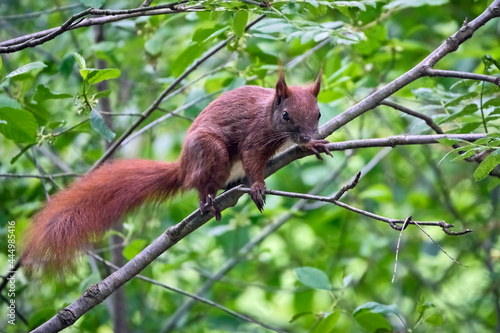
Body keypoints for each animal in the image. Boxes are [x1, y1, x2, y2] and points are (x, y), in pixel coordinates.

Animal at [20, 69, 332, 272]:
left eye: (319, 114)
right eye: (286, 115)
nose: (307, 135)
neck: (268, 114)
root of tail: (183, 167)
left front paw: (313, 144)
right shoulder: (254, 137)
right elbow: (253, 160)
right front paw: (256, 186)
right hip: (210, 151)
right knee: (202, 183)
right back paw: (208, 200)